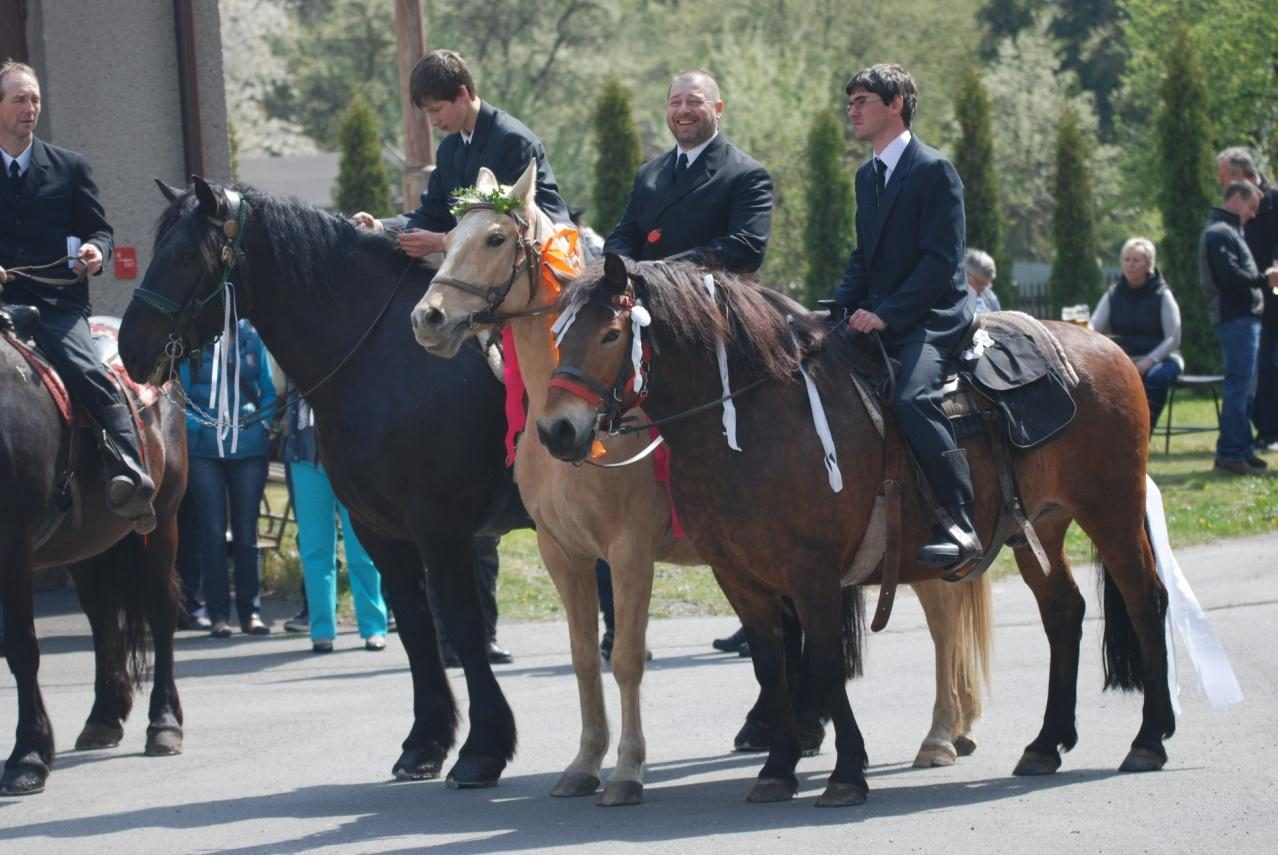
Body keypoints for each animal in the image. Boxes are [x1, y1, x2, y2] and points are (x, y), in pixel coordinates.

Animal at [0, 315, 185, 792]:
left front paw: (28, 755)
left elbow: (22, 648)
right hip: (84, 546)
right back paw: (103, 717)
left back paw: (164, 722)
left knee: (160, 612)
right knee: (102, 617)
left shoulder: (13, 550)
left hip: (164, 523)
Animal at [120, 178, 529, 787]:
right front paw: (426, 742)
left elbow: (460, 623)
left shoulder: (441, 526)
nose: (130, 348)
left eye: (188, 255)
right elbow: (415, 627)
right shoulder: (380, 530)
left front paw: (483, 748)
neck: (385, 360)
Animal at [414, 161, 991, 807]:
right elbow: (586, 659)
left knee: (945, 620)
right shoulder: (562, 552)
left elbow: (627, 659)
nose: (428, 318)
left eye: (494, 239)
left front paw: (627, 771)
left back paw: (941, 733)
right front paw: (584, 763)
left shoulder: (630, 551)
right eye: (448, 236)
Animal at [534, 253, 1170, 807]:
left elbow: (823, 664)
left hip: (1110, 510)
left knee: (1145, 599)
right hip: (1039, 527)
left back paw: (1148, 738)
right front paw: (778, 768)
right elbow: (771, 665)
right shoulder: (738, 577)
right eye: (557, 336)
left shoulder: (811, 574)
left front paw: (844, 772)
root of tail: (1105, 346)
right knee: (1063, 611)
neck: (757, 416)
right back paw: (1045, 744)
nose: (556, 431)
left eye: (611, 335)